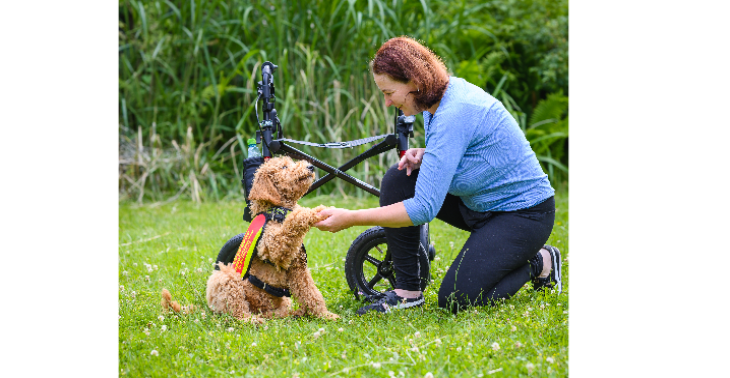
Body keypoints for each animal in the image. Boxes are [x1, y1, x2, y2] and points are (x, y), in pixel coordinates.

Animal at [161, 155, 336, 324]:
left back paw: (293, 314)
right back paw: (252, 320)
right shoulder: (274, 247)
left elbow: (311, 293)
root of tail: (210, 309)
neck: (275, 210)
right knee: (237, 313)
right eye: (284, 167)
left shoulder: (298, 270)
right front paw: (313, 212)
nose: (311, 166)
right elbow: (293, 220)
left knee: (275, 313)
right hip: (226, 279)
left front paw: (325, 315)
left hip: (279, 303)